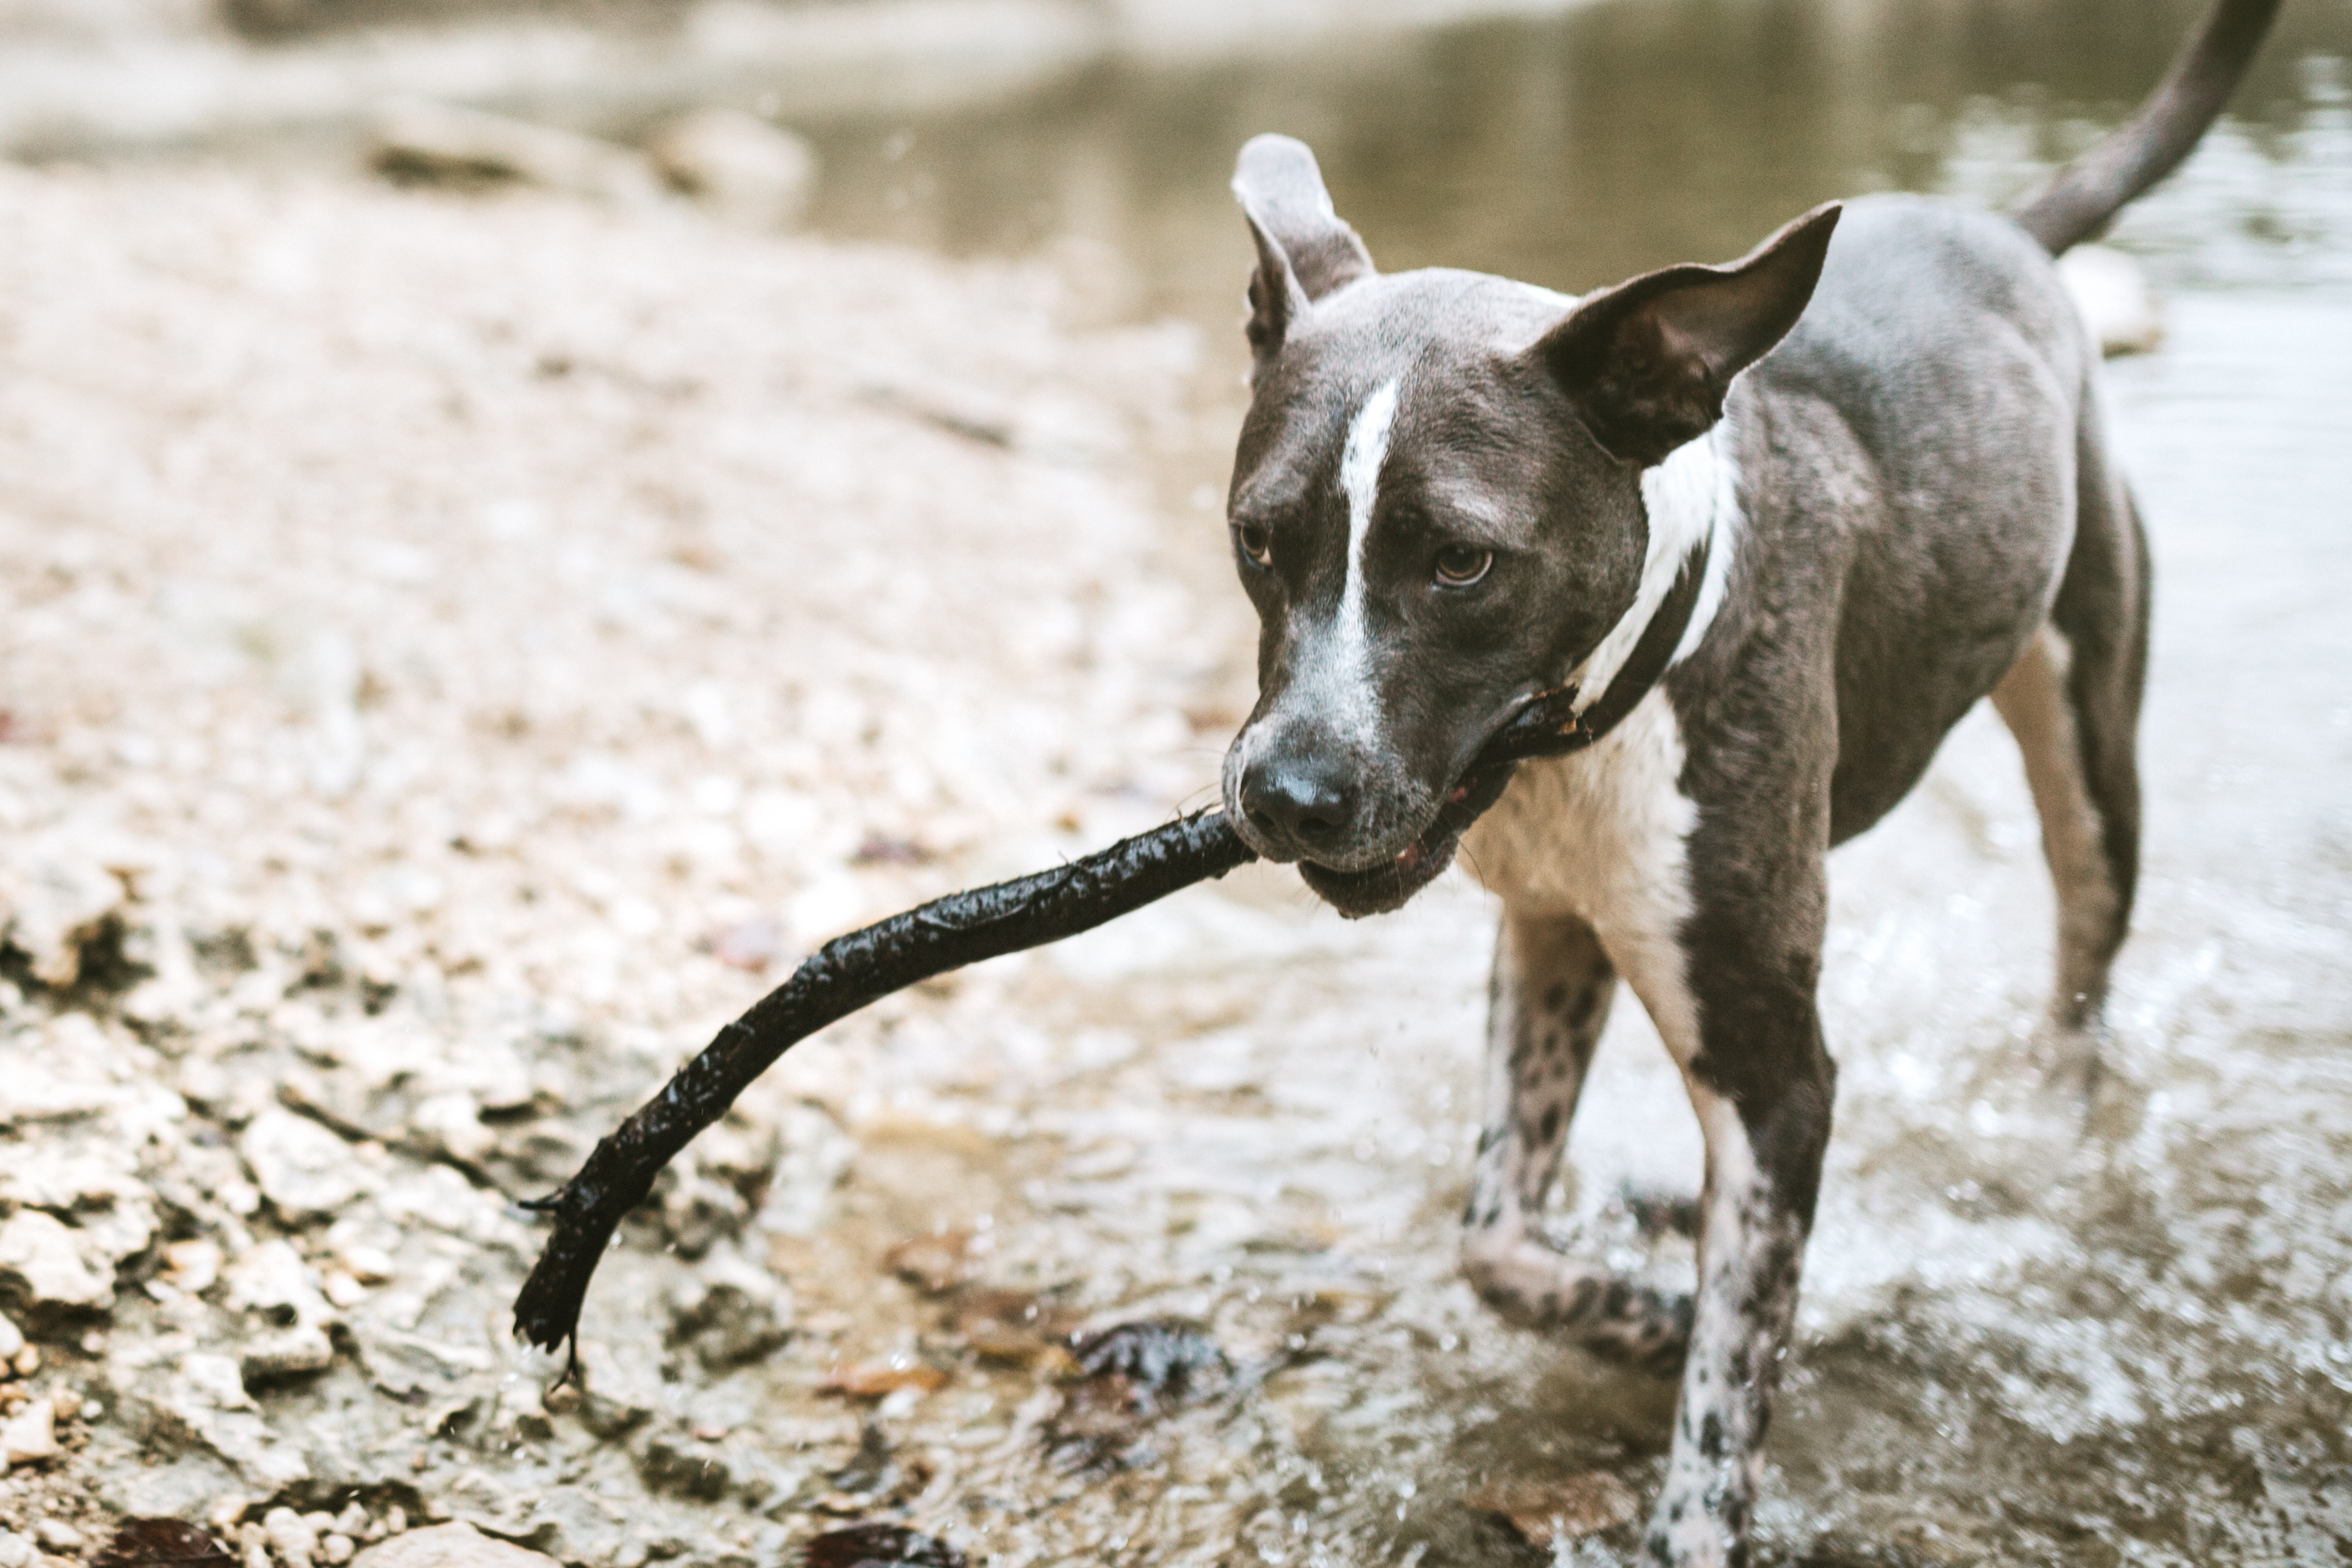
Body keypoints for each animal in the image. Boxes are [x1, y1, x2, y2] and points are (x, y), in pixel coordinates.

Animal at [1214, 6, 2276, 1561]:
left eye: (1461, 560)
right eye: (1259, 539)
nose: (1287, 793)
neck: (1601, 709)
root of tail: (2005, 229)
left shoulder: (1780, 1079)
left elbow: (1726, 1405)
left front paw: (1696, 1424)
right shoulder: (1554, 933)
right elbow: (1497, 1241)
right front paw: (1647, 1307)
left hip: (2093, 756)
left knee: (2085, 979)